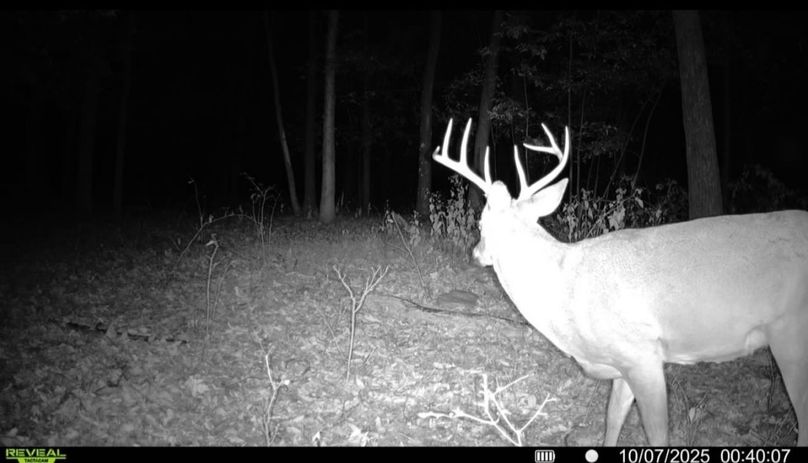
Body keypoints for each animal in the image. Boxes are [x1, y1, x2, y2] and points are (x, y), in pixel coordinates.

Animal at [432, 118, 808, 446]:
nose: (475, 253)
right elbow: (611, 422)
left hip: (790, 333)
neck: (566, 293)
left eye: (481, 224)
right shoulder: (623, 364)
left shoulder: (642, 353)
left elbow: (658, 436)